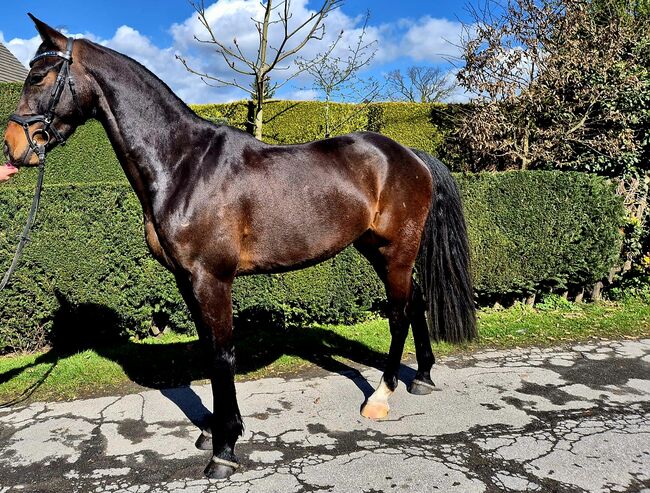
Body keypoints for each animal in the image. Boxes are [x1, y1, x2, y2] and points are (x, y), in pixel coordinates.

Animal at [3, 16, 476, 479]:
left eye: (40, 76)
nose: (12, 147)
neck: (183, 164)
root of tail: (409, 154)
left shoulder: (211, 278)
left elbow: (222, 353)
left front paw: (225, 448)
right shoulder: (187, 280)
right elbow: (208, 348)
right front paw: (212, 431)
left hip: (395, 249)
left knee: (399, 314)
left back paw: (380, 396)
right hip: (376, 250)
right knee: (416, 302)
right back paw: (423, 376)